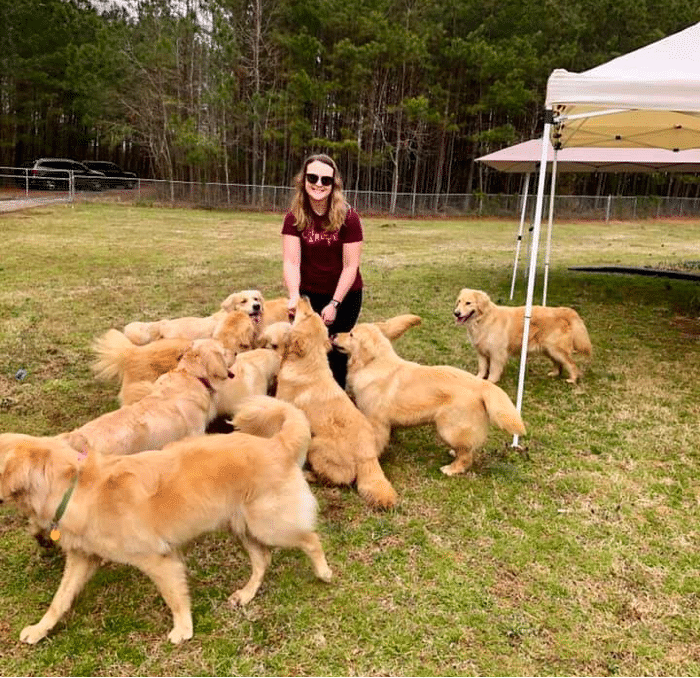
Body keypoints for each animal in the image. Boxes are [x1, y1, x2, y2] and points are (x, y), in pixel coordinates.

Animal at [0, 398, 332, 648]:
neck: (74, 486)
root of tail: (276, 444)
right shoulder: (83, 558)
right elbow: (59, 600)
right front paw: (39, 629)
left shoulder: (158, 559)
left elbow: (174, 597)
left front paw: (183, 630)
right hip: (240, 526)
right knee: (263, 560)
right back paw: (246, 594)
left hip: (267, 523)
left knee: (310, 539)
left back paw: (324, 572)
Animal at [274, 298, 396, 510]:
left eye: (307, 314)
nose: (304, 297)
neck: (308, 362)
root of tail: (368, 456)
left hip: (315, 445)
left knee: (338, 479)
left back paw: (309, 475)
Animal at [334, 322, 524, 476]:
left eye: (351, 334)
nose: (334, 334)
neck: (373, 363)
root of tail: (481, 384)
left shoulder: (376, 421)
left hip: (449, 428)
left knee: (467, 455)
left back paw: (451, 469)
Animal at [454, 288, 592, 388]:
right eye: (459, 301)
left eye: (468, 303)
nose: (456, 313)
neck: (483, 319)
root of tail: (563, 311)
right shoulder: (481, 352)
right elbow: (482, 368)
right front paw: (477, 379)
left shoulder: (497, 353)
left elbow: (493, 369)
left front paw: (490, 381)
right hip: (549, 350)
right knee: (558, 363)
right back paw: (554, 373)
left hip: (556, 349)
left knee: (571, 364)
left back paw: (572, 380)